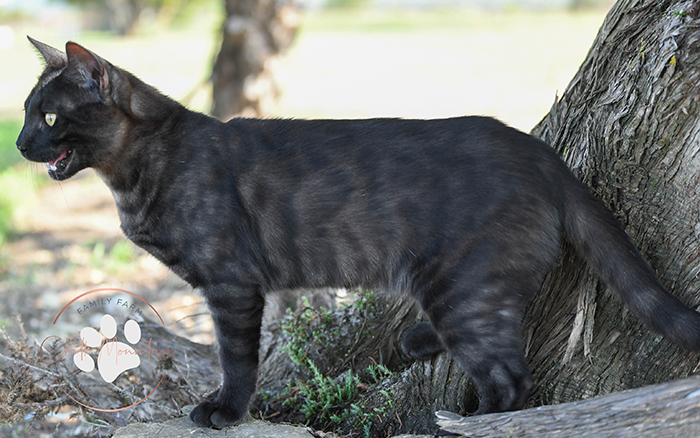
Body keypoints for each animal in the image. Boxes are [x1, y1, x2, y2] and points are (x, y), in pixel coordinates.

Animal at [16, 38, 700, 428]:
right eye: (25, 113)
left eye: (48, 116)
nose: (19, 143)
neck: (141, 171)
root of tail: (540, 152)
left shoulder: (232, 287)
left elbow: (237, 357)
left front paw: (224, 411)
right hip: (468, 288)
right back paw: (421, 345)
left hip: (466, 286)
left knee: (510, 381)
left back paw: (469, 419)